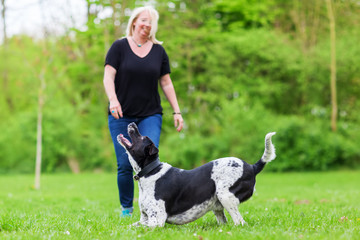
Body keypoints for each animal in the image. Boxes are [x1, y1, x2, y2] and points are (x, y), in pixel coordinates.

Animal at [118, 122, 276, 227]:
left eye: (142, 137)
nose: (132, 123)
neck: (151, 172)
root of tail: (252, 167)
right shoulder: (144, 218)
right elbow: (129, 227)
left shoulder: (157, 220)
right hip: (218, 206)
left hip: (226, 196)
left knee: (240, 222)